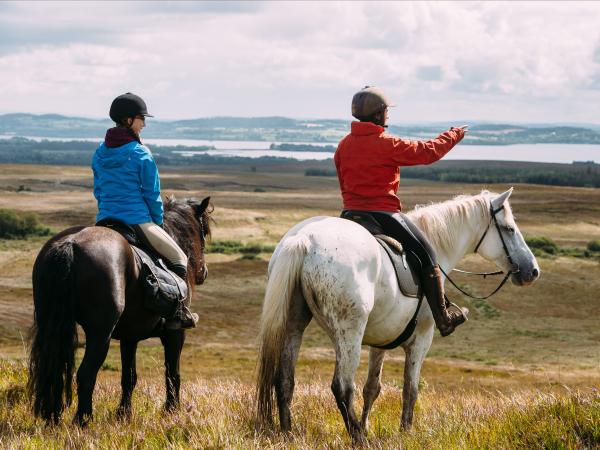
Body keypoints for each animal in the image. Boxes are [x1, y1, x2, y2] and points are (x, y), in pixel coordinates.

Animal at [27, 195, 212, 424]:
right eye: (204, 232)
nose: (203, 272)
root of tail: (69, 246)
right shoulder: (175, 333)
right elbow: (172, 373)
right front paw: (171, 411)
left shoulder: (129, 337)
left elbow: (129, 376)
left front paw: (124, 414)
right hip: (100, 334)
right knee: (86, 374)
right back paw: (83, 421)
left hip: (50, 323)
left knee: (51, 368)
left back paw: (52, 418)